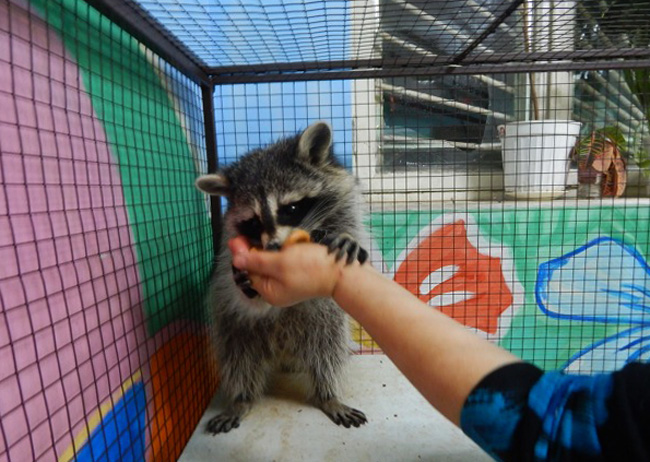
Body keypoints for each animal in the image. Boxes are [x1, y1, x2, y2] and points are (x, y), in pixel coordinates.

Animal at [192, 122, 368, 434]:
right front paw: (245, 285)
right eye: (253, 221)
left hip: (320, 324)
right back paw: (242, 399)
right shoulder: (228, 249)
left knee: (328, 348)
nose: (273, 247)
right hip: (237, 330)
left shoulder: (345, 204)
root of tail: (283, 351)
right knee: (238, 358)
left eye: (292, 208)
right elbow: (233, 289)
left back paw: (328, 394)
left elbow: (351, 230)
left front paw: (347, 238)